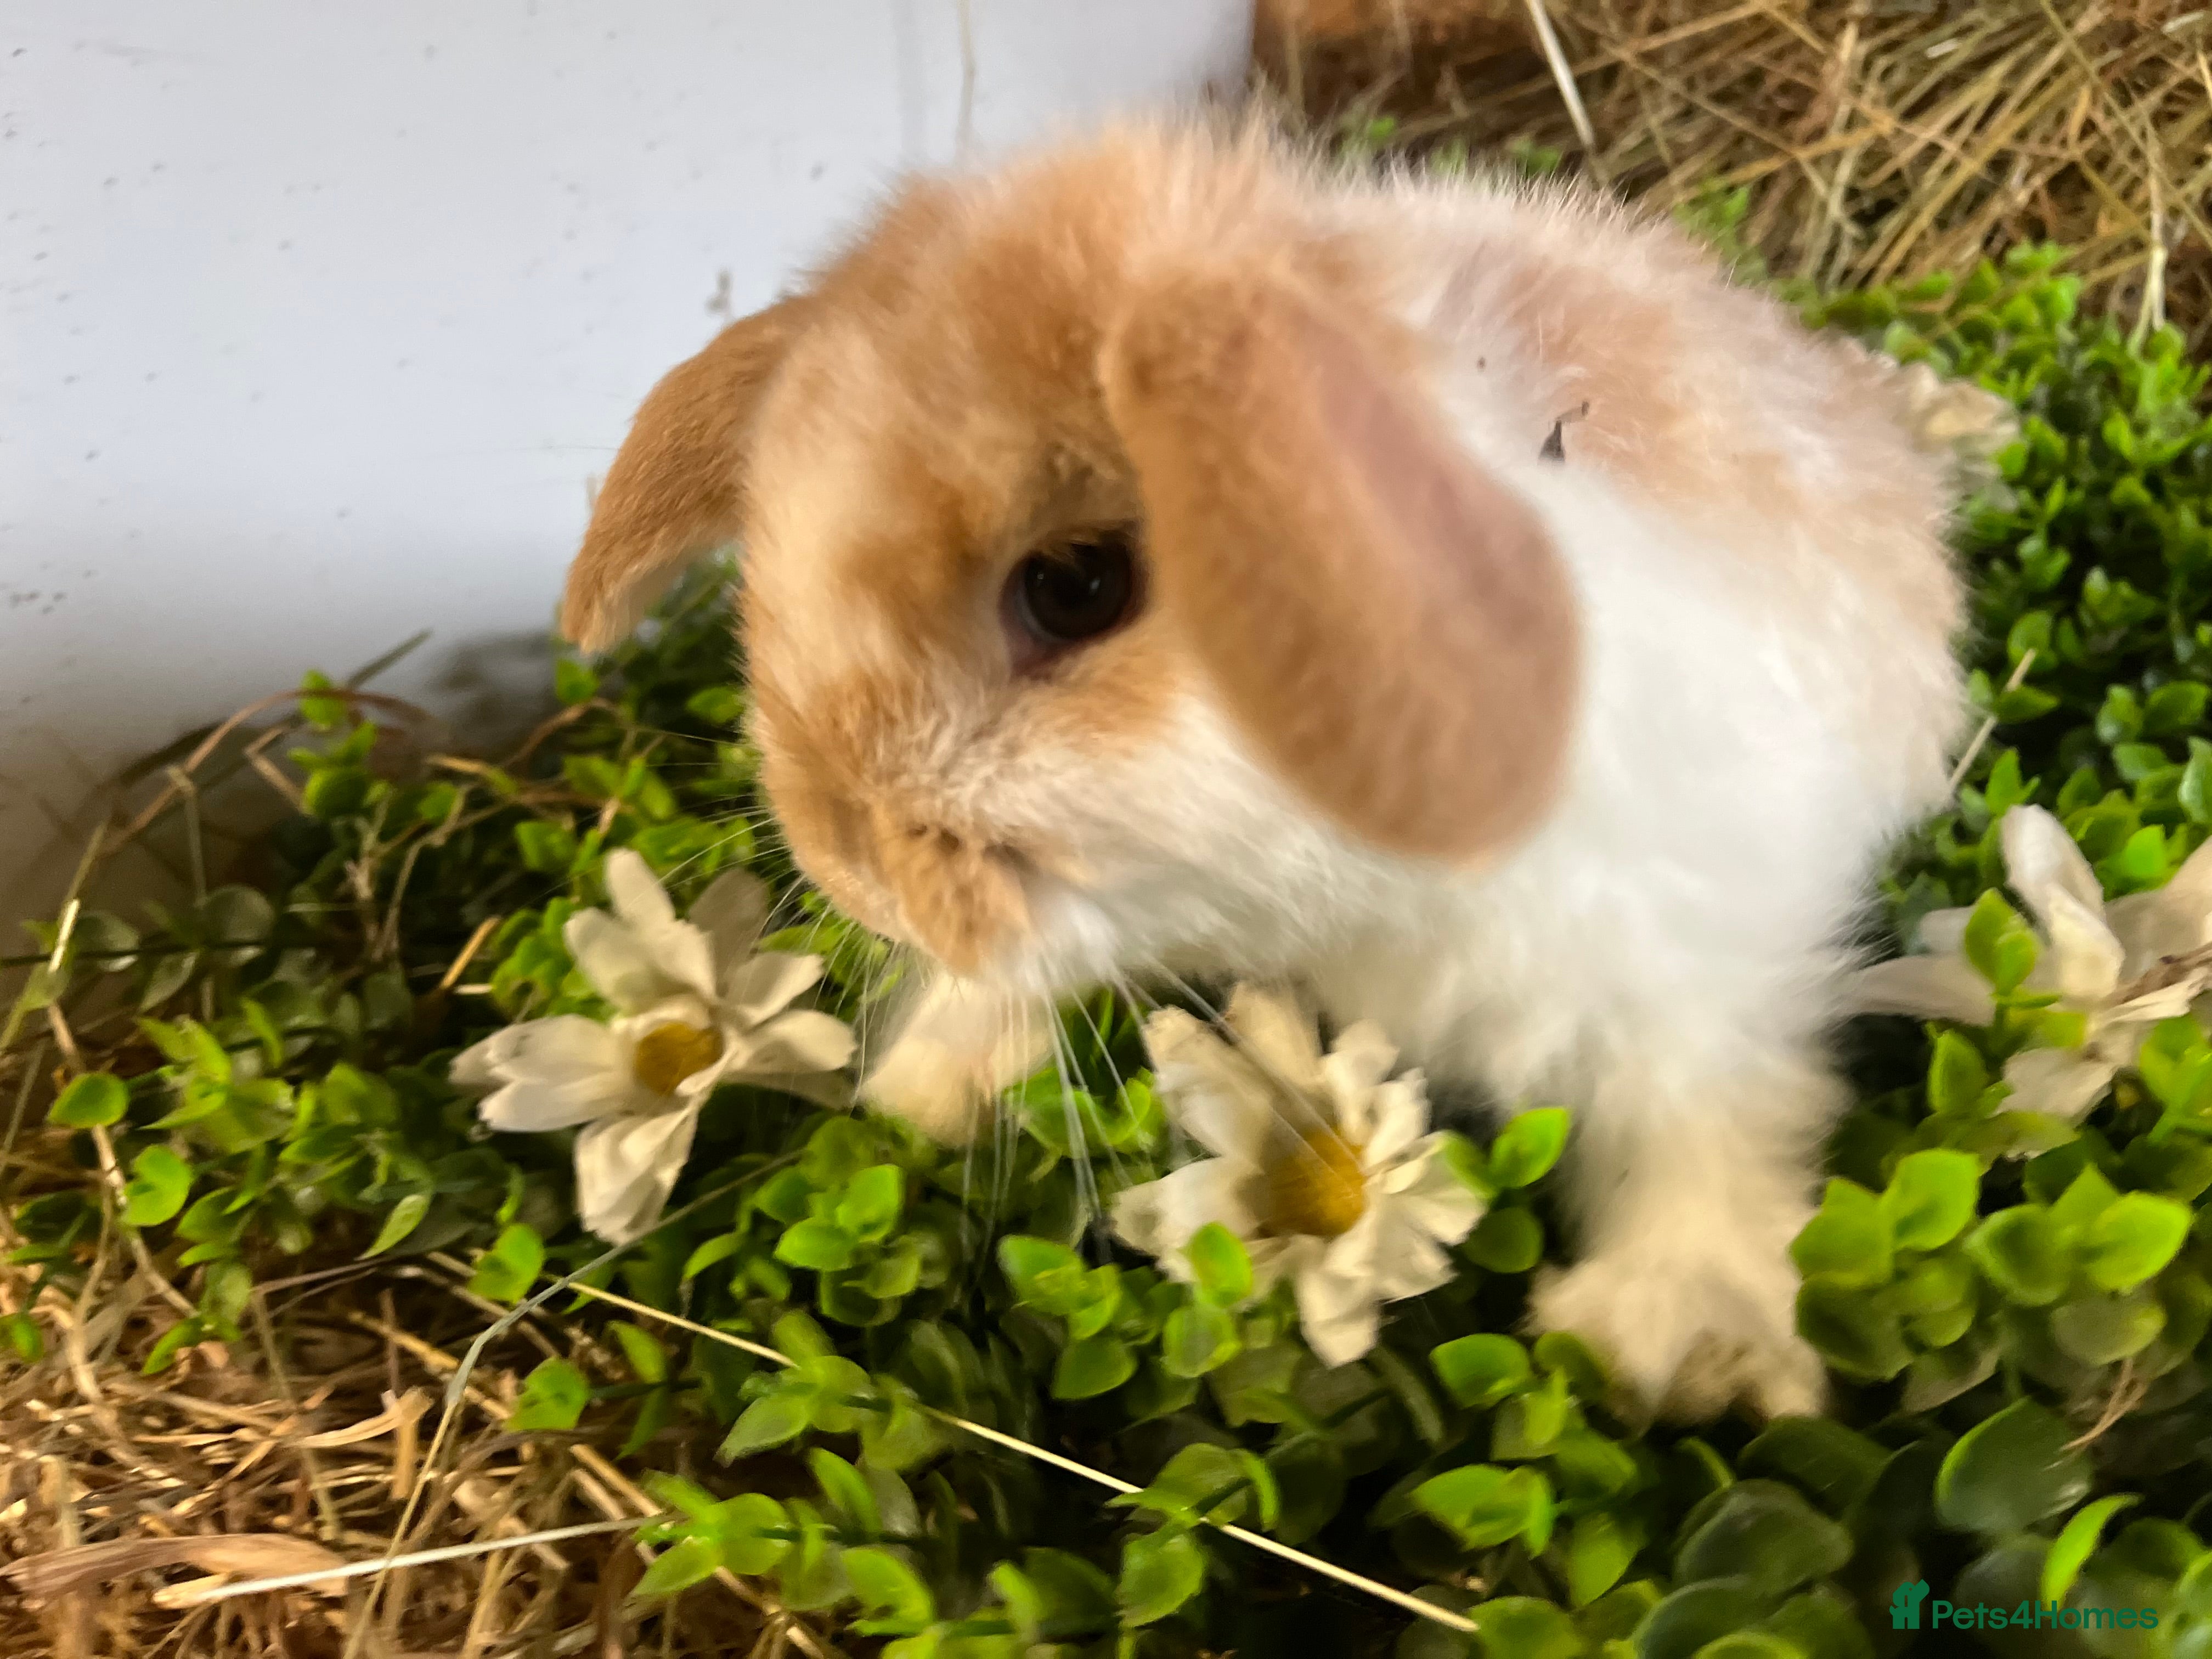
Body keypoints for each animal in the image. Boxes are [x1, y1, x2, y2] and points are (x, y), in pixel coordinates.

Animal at [557, 118, 1970, 1420]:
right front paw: (917, 1093)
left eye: (1074, 586)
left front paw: (1675, 1350)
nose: (845, 862)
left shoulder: (1700, 965)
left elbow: (1712, 1120)